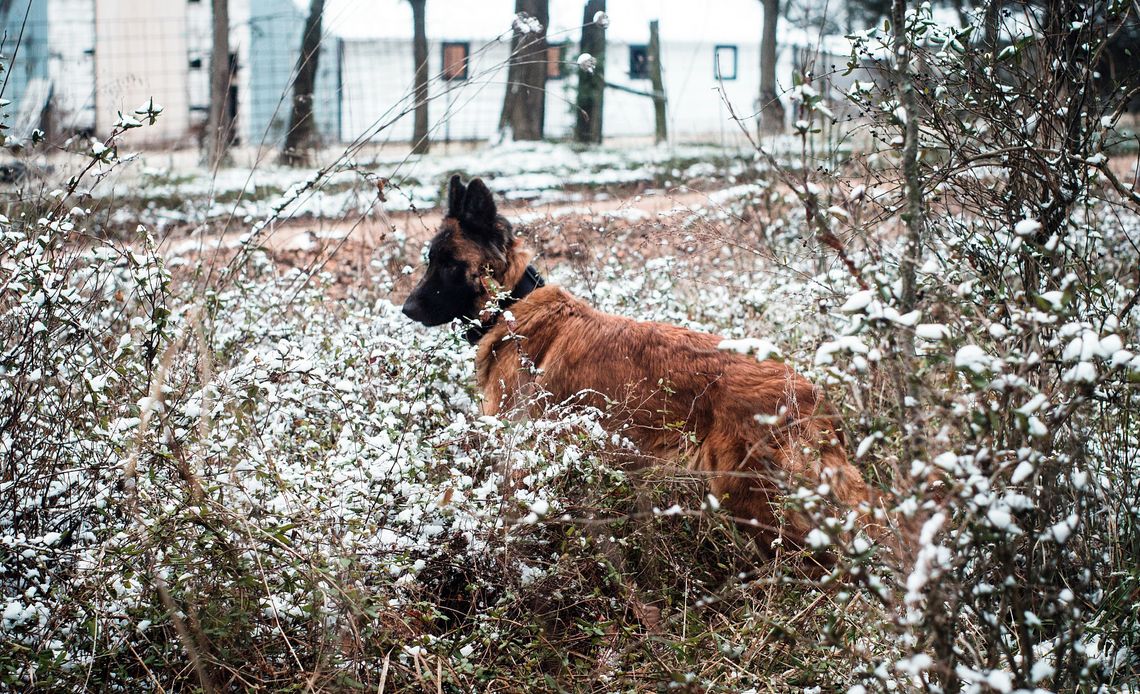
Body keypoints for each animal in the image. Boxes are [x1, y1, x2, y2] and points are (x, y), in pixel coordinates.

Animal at [405, 174, 875, 546]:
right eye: (429, 260)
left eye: (450, 264)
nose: (407, 309)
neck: (511, 306)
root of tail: (810, 392)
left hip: (752, 500)